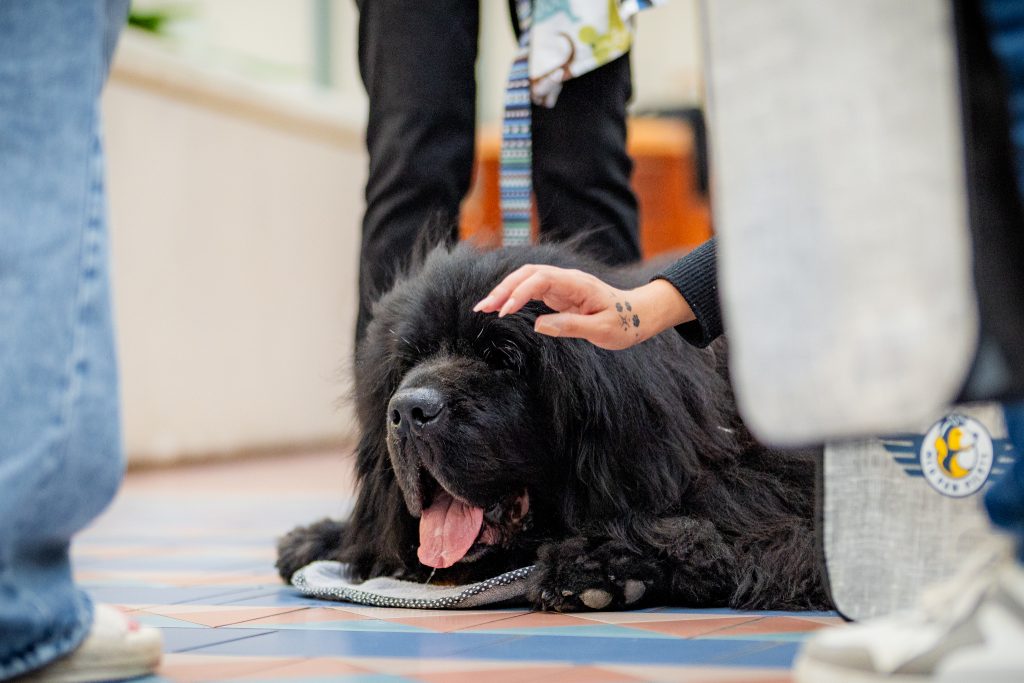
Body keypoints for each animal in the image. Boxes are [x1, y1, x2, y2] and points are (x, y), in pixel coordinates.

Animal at [280, 241, 831, 614]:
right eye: (408, 362)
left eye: (503, 357)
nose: (410, 411)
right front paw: (319, 538)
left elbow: (715, 532)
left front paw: (598, 566)